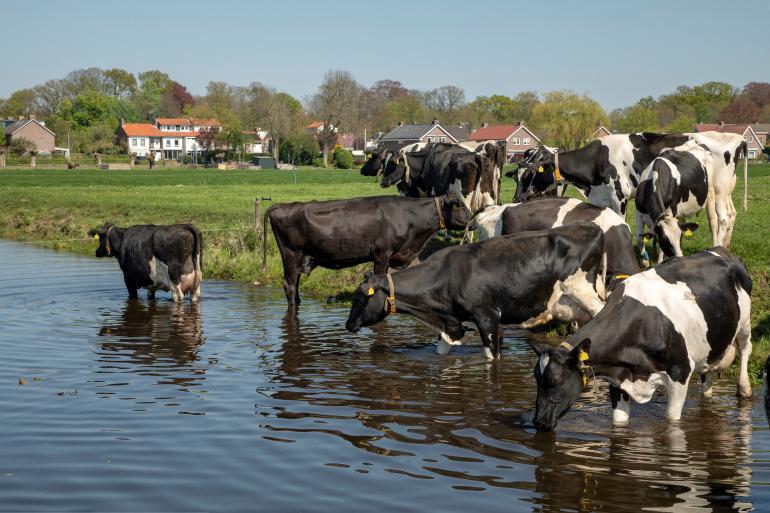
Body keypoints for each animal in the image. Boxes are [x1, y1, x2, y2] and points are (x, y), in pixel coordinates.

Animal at [262, 193, 468, 310]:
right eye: (459, 205)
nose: (471, 221)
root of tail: (283, 205)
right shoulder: (382, 253)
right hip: (290, 253)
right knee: (289, 285)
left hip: (298, 257)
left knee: (295, 283)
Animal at [346, 224, 608, 360]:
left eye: (362, 297)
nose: (348, 324)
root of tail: (591, 227)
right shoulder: (451, 322)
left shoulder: (487, 316)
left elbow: (491, 358)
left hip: (584, 292)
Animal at [528, 246, 752, 430]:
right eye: (536, 379)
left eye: (556, 380)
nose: (539, 422)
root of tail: (721, 251)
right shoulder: (618, 377)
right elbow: (619, 421)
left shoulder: (680, 373)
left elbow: (672, 421)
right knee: (708, 374)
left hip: (745, 324)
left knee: (745, 349)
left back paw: (744, 388)